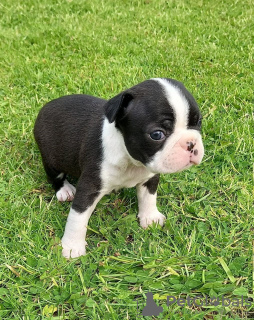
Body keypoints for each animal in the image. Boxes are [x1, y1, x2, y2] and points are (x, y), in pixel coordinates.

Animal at [33, 77, 204, 258]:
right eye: (157, 134)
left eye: (198, 122)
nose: (191, 143)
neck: (131, 161)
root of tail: (45, 107)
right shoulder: (90, 186)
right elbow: (77, 218)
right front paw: (72, 247)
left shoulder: (150, 176)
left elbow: (148, 197)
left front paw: (150, 217)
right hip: (50, 157)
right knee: (55, 176)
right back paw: (64, 190)